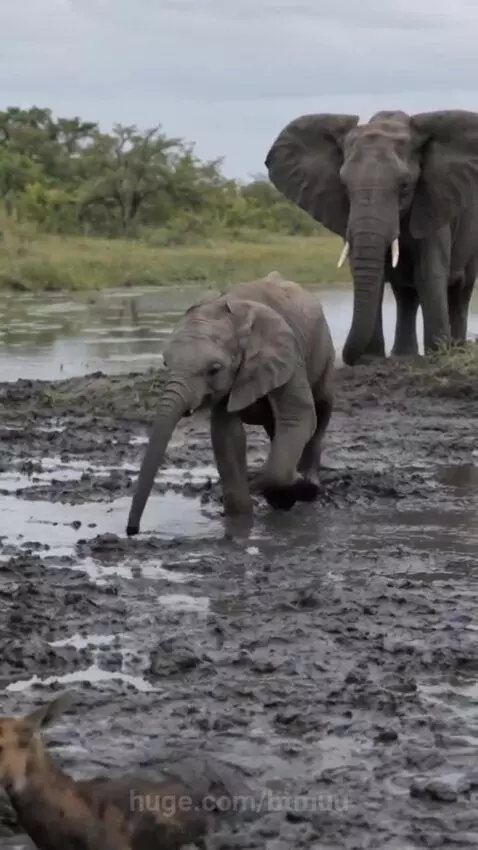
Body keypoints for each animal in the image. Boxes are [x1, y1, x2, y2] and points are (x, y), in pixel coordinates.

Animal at [126, 271, 335, 536]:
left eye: (214, 369)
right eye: (165, 364)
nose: (132, 530)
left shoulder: (287, 353)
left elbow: (297, 416)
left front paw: (290, 487)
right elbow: (227, 434)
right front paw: (240, 521)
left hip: (323, 349)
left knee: (321, 409)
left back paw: (308, 483)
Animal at [264, 109, 478, 365]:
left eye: (405, 185)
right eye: (344, 185)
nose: (347, 357)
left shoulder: (433, 203)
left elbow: (429, 273)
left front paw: (437, 355)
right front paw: (371, 358)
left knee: (461, 291)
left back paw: (455, 350)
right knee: (405, 294)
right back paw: (404, 356)